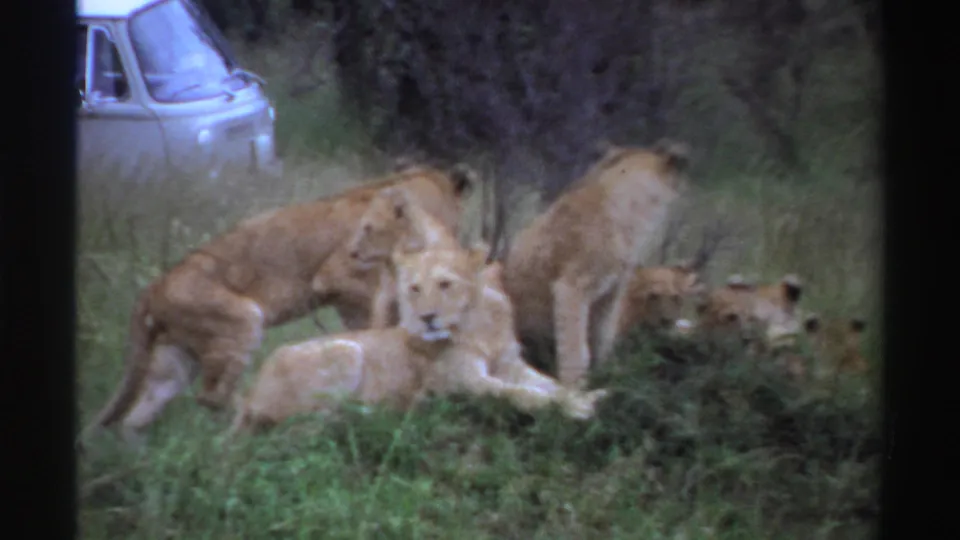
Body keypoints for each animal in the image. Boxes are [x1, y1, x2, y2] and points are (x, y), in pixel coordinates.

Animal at [79, 161, 477, 447]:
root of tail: (153, 286)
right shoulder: (339, 278)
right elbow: (373, 323)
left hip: (176, 359)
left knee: (138, 416)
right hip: (242, 320)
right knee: (214, 397)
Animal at [227, 245, 606, 437]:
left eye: (445, 284)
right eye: (414, 288)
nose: (427, 318)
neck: (479, 325)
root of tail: (249, 393)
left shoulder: (510, 364)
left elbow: (548, 383)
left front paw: (586, 395)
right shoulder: (463, 383)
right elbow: (519, 393)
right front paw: (576, 408)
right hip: (346, 350)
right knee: (307, 424)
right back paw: (381, 411)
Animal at [501, 139, 692, 388]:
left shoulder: (612, 294)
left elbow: (602, 339)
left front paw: (605, 377)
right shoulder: (571, 288)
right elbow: (576, 349)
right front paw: (574, 389)